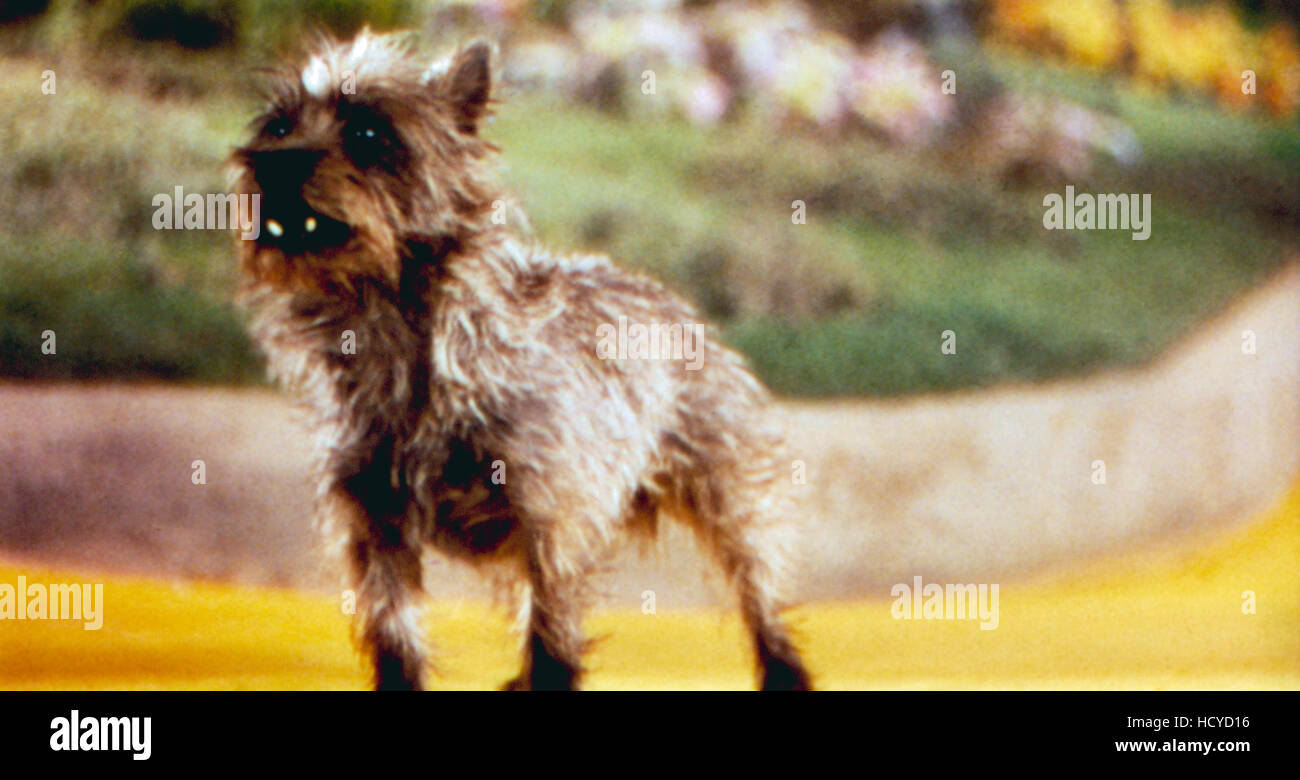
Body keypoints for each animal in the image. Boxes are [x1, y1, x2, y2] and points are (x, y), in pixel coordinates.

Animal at [228, 28, 806, 686]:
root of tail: (673, 302)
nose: (271, 162)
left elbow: (553, 635)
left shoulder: (551, 520)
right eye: (278, 126)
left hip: (728, 497)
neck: (397, 338)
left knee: (759, 589)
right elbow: (397, 632)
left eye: (369, 133)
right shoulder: (377, 527)